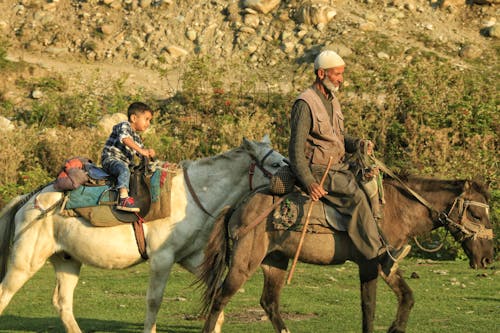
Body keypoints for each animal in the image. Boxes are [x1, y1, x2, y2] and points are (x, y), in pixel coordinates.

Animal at [0, 136, 288, 332]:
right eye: (275, 163)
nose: (295, 178)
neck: (191, 195)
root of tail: (28, 200)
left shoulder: (190, 258)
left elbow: (216, 297)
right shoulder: (162, 259)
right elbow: (153, 301)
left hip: (66, 260)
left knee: (63, 303)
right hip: (25, 263)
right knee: (5, 293)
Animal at [198, 175, 492, 330]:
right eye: (477, 215)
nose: (488, 258)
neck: (396, 209)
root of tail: (238, 205)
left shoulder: (387, 266)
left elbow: (406, 298)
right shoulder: (369, 264)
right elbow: (369, 307)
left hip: (275, 262)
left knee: (269, 302)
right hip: (242, 264)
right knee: (220, 299)